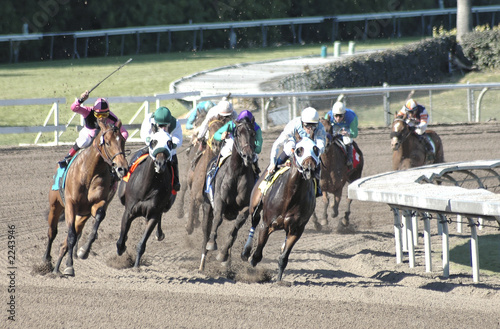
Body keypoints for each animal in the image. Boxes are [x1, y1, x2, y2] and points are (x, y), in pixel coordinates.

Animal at [43, 119, 128, 276]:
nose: (122, 168)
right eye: (107, 143)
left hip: (82, 216)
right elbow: (71, 235)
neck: (89, 172)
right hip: (55, 206)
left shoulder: (96, 204)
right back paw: (46, 260)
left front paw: (83, 251)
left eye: (123, 141)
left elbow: (98, 218)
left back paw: (57, 267)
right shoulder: (71, 205)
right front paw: (70, 266)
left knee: (71, 236)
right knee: (52, 232)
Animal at [115, 129, 174, 266]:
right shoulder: (129, 211)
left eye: (169, 142)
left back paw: (159, 234)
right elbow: (120, 242)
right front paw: (122, 249)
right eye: (153, 141)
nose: (160, 164)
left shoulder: (153, 214)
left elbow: (141, 244)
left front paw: (136, 266)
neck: (146, 188)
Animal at [198, 117, 256, 270]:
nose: (248, 156)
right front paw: (212, 243)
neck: (237, 173)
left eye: (253, 134)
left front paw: (223, 254)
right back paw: (202, 263)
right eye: (238, 134)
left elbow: (235, 228)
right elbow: (217, 218)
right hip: (206, 205)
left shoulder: (245, 207)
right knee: (205, 231)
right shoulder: (219, 200)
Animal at [241, 137, 320, 280]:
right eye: (299, 150)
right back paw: (246, 251)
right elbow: (257, 254)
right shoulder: (266, 224)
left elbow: (283, 258)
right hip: (254, 205)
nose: (309, 169)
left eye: (316, 149)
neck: (290, 198)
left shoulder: (296, 230)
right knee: (254, 220)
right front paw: (251, 267)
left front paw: (279, 280)